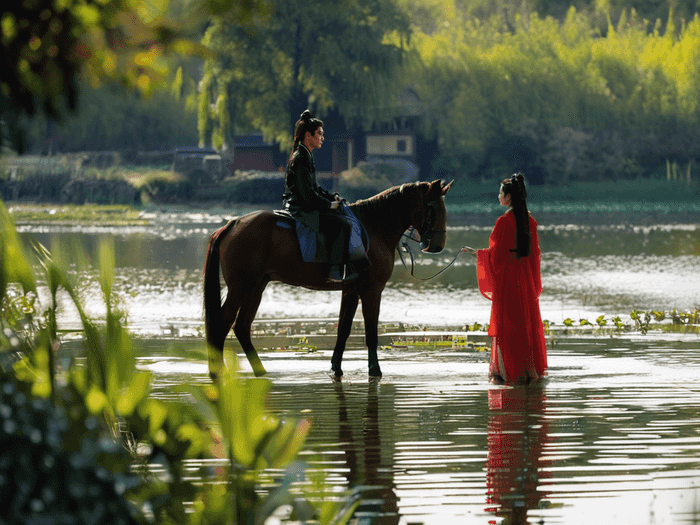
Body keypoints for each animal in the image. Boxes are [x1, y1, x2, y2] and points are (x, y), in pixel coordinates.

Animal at [202, 178, 454, 378]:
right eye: (433, 208)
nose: (438, 245)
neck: (375, 226)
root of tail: (232, 224)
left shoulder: (351, 290)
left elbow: (343, 330)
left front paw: (336, 367)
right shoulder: (372, 290)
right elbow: (371, 333)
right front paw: (375, 370)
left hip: (256, 287)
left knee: (242, 327)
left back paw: (259, 370)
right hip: (241, 287)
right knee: (222, 325)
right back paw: (219, 372)